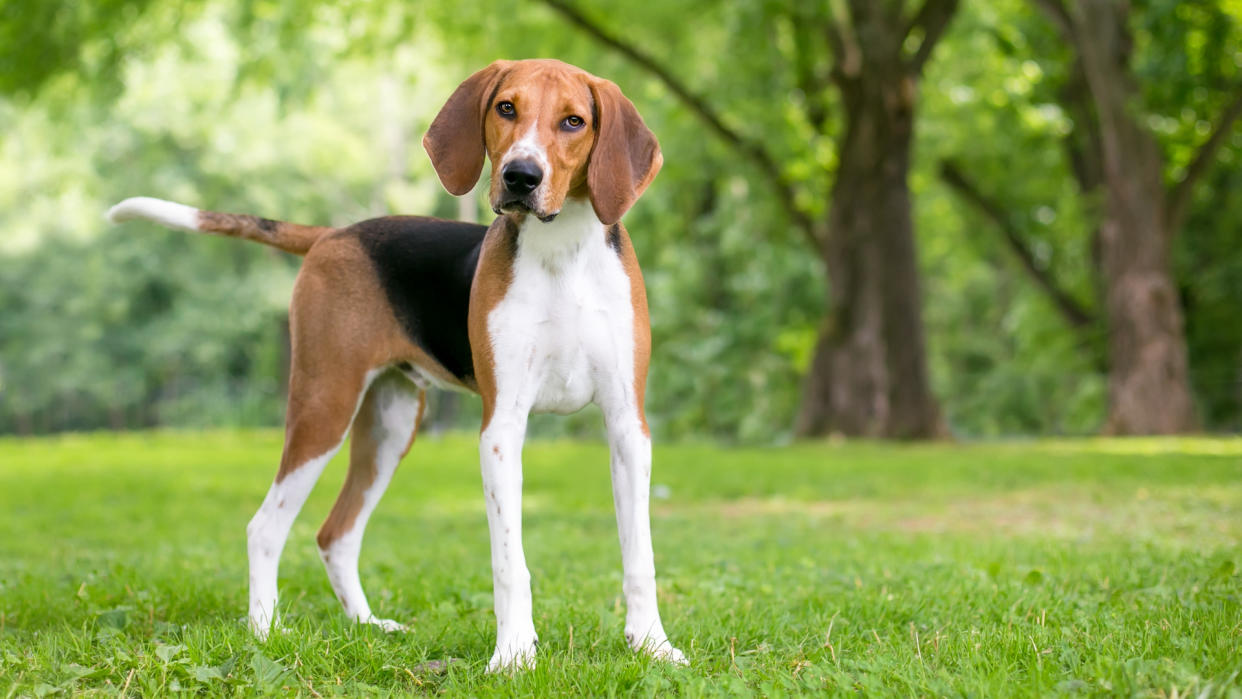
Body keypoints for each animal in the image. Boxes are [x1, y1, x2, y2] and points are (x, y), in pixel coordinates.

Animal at [104, 60, 690, 670]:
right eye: (505, 107)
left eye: (574, 121)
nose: (520, 177)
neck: (563, 254)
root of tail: (334, 234)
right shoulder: (502, 428)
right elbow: (510, 562)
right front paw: (512, 656)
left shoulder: (627, 425)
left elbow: (640, 556)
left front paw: (652, 644)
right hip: (325, 407)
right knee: (265, 527)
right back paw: (265, 633)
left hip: (389, 427)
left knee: (336, 534)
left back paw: (366, 627)